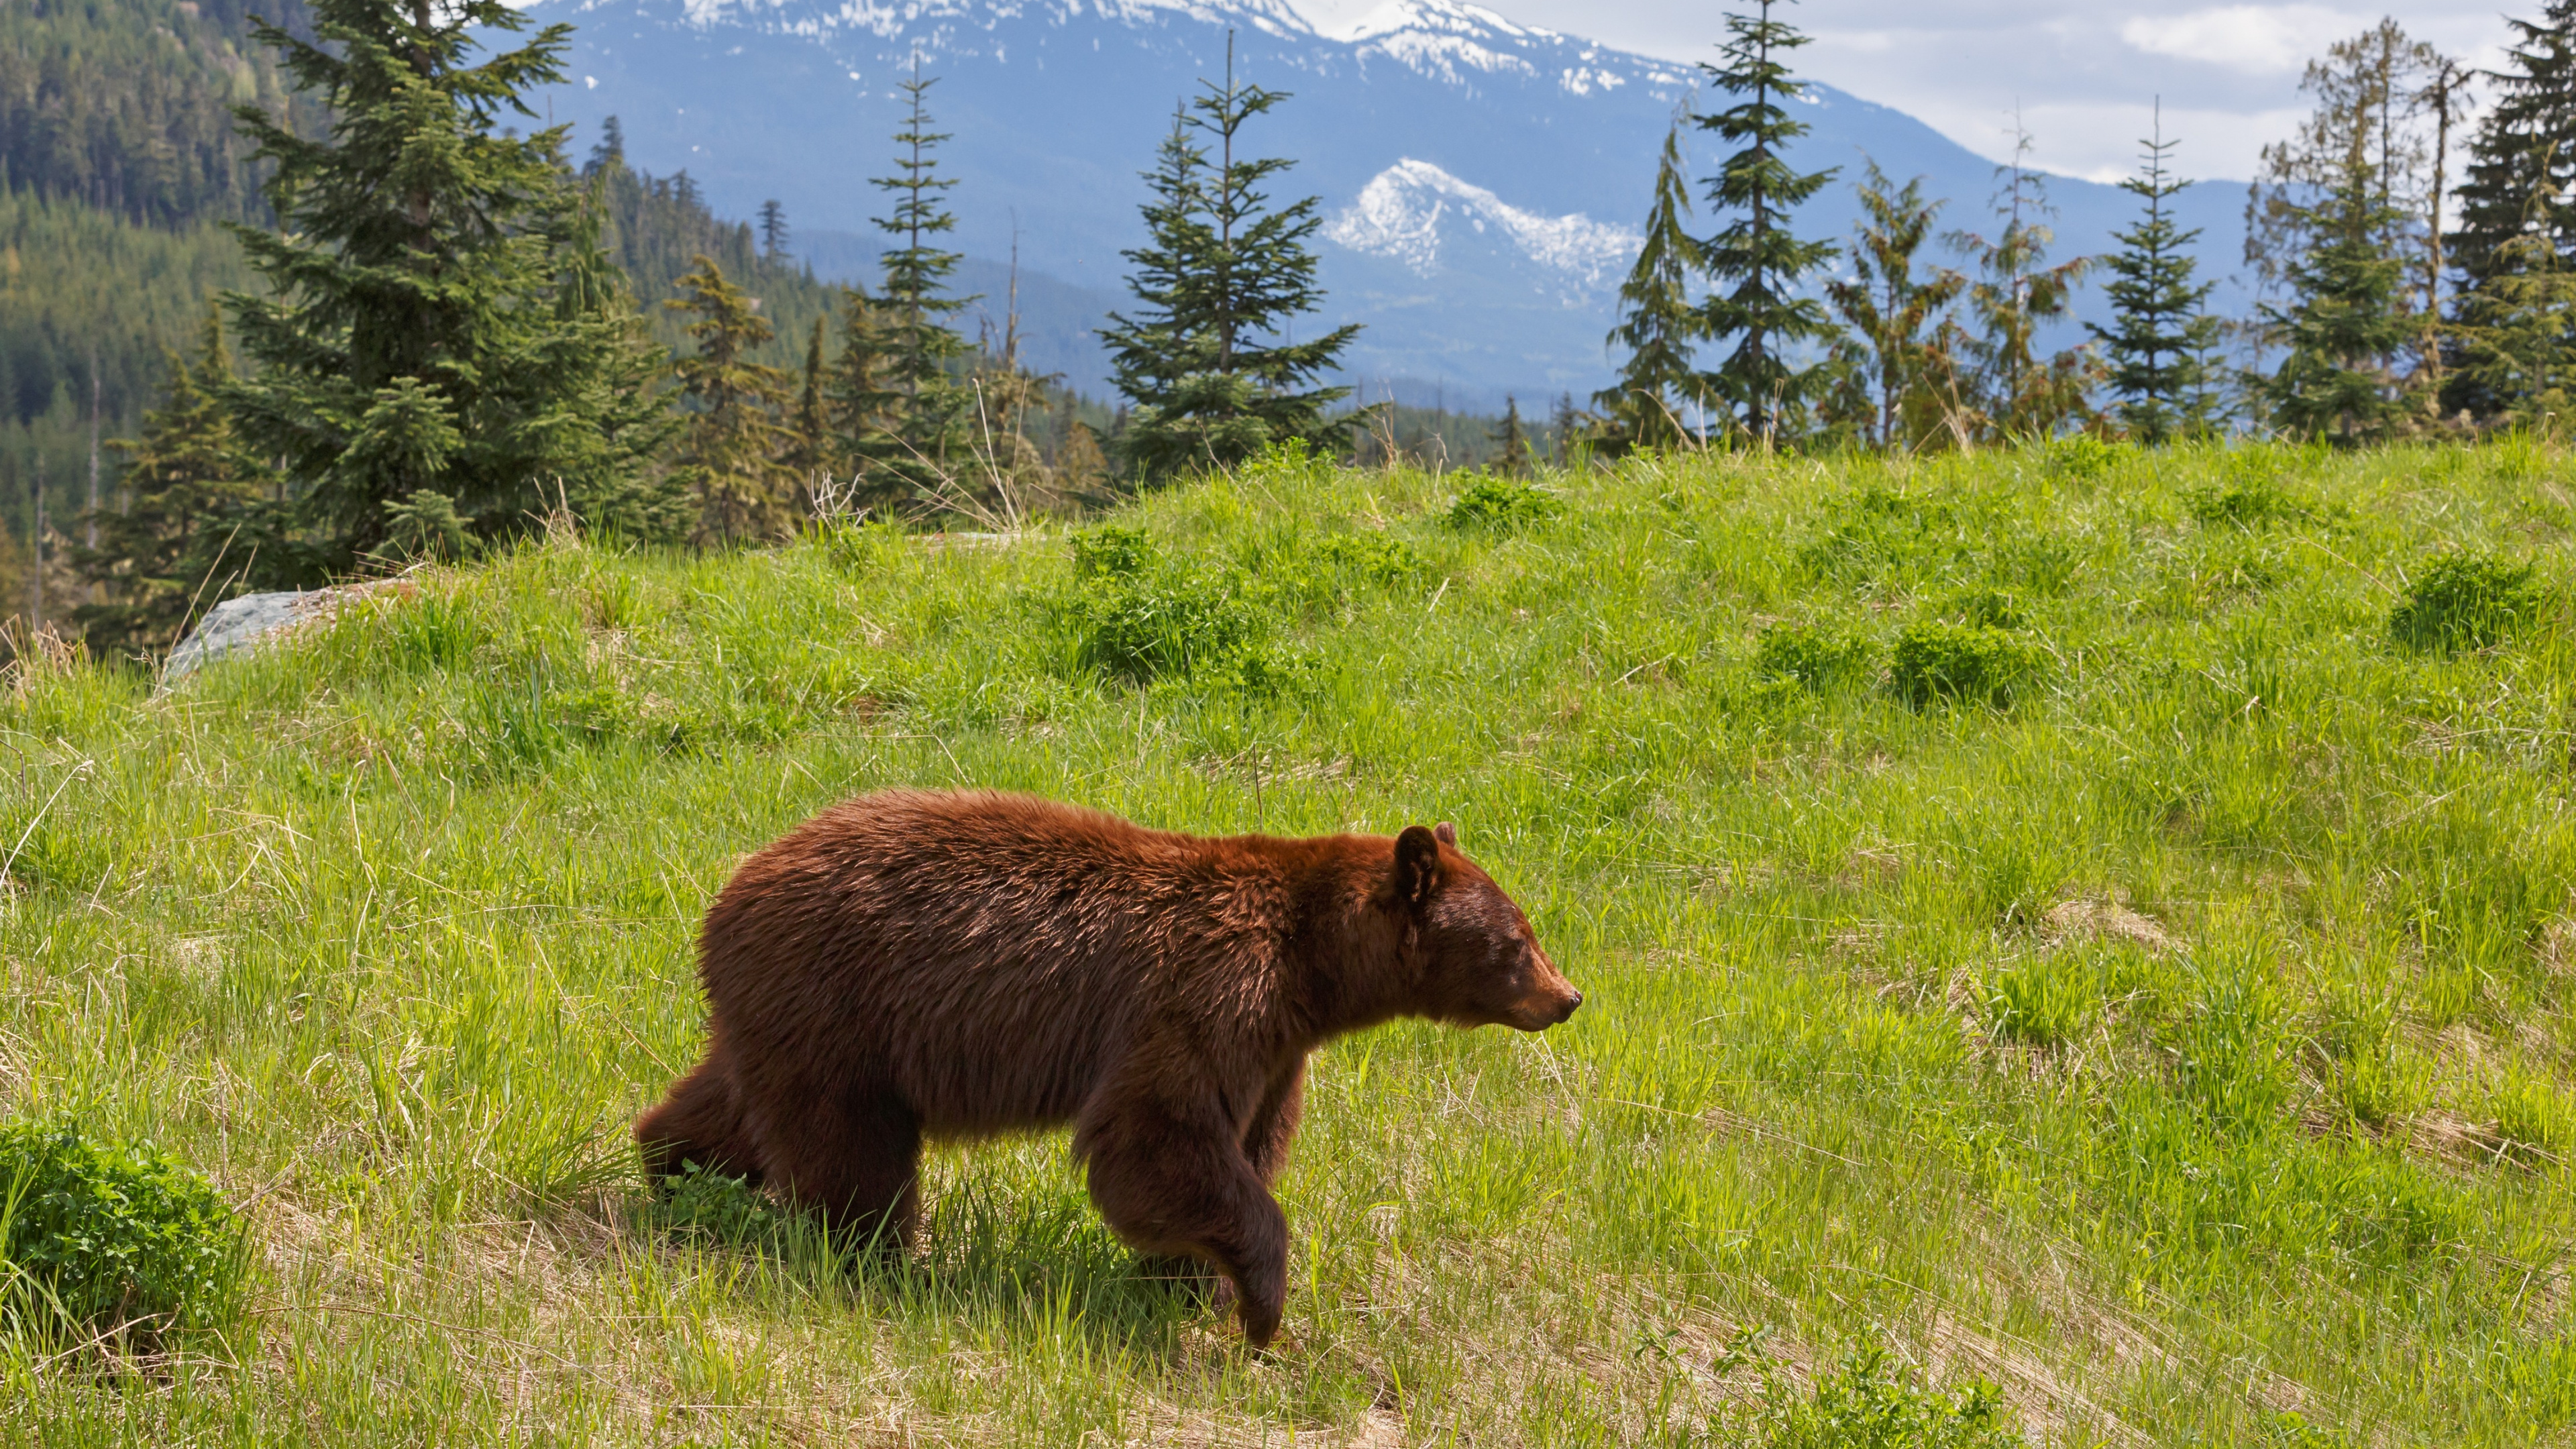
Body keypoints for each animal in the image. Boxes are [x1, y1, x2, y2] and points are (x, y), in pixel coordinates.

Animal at [633, 789, 1576, 1340]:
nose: (1567, 997)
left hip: (784, 1013)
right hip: (844, 1007)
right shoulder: (1209, 991)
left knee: (730, 1105)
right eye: (1516, 941)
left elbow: (1244, 1145)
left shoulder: (1276, 1049)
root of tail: (731, 889)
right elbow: (1156, 1135)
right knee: (848, 1152)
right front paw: (1260, 1305)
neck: (1313, 968)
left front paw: (1189, 1286)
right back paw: (878, 1261)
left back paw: (671, 1172)